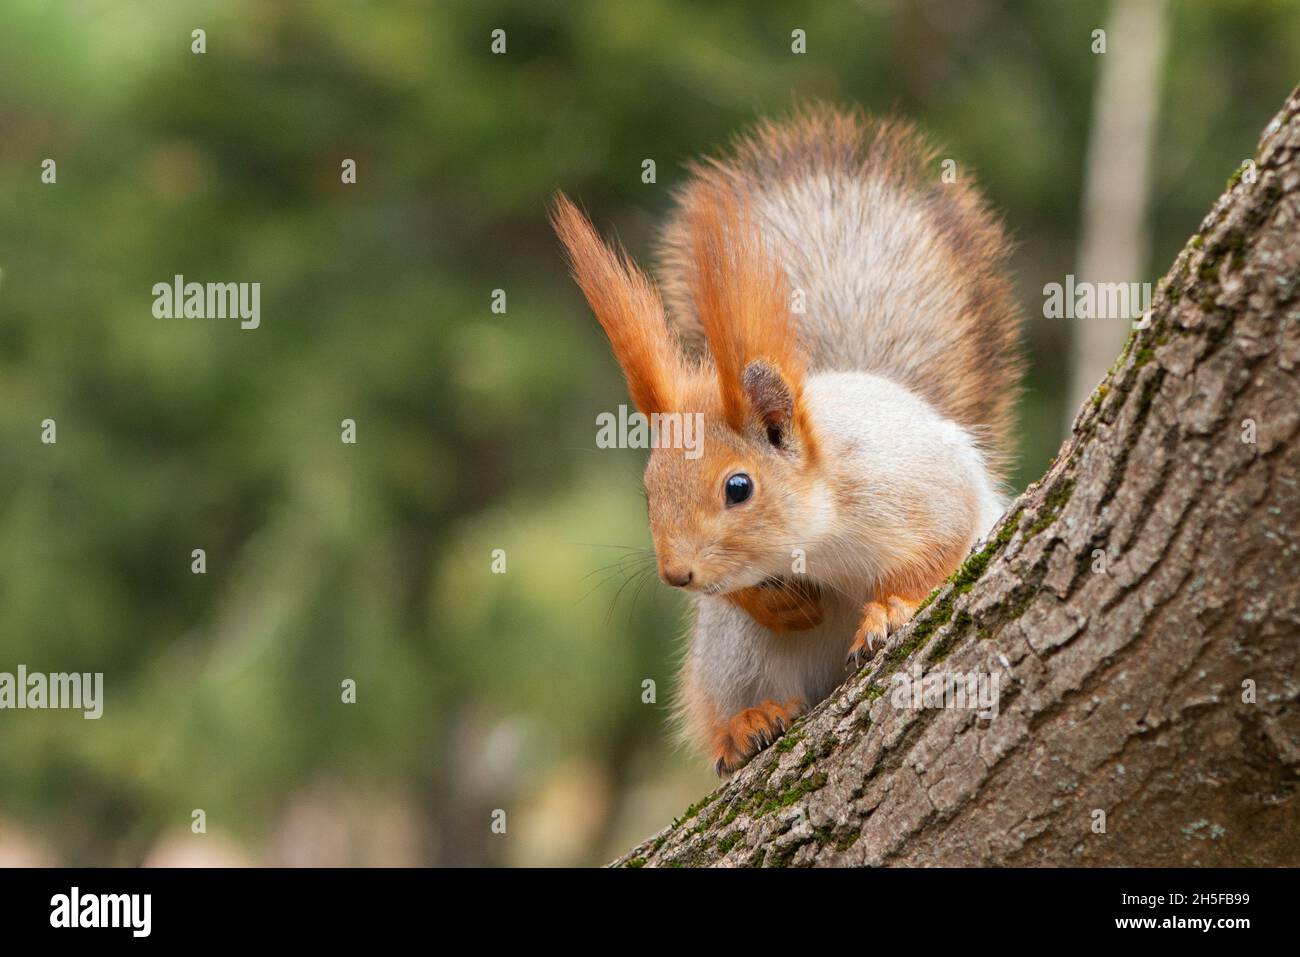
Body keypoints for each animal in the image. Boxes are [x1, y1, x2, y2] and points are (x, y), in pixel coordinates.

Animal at [552, 105, 1023, 775]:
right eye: (647, 491)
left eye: (739, 487)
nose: (676, 575)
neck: (817, 539)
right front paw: (777, 603)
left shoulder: (914, 486)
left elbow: (937, 548)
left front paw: (891, 608)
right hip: (733, 655)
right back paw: (747, 723)